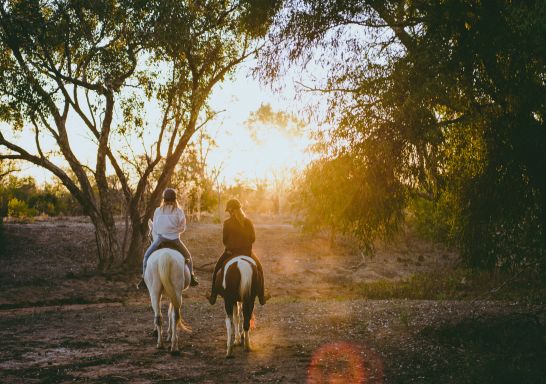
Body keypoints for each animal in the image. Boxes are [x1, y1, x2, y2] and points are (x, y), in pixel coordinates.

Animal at [143, 220, 190, 352]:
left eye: (149, 235)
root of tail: (165, 256)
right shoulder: (172, 293)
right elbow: (170, 312)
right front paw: (169, 334)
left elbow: (167, 312)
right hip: (176, 292)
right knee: (174, 315)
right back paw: (173, 345)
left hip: (156, 292)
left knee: (160, 316)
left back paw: (162, 343)